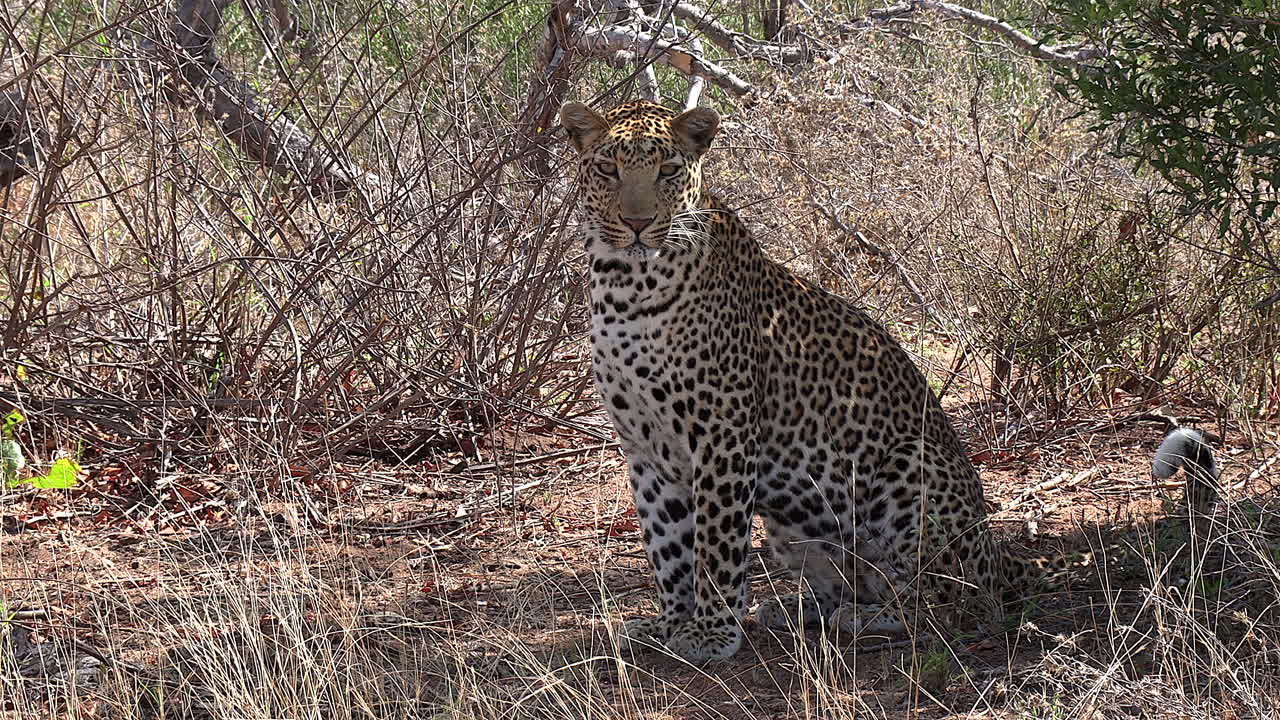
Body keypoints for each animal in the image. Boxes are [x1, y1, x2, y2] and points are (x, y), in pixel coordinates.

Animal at [559, 99, 1216, 663]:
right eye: (608, 169)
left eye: (669, 170)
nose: (637, 223)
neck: (625, 286)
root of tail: (996, 546)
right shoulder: (644, 448)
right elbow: (667, 545)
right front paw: (670, 623)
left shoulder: (721, 435)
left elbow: (715, 547)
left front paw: (711, 632)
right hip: (795, 525)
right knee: (862, 584)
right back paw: (801, 608)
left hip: (910, 468)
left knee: (949, 602)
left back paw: (862, 619)